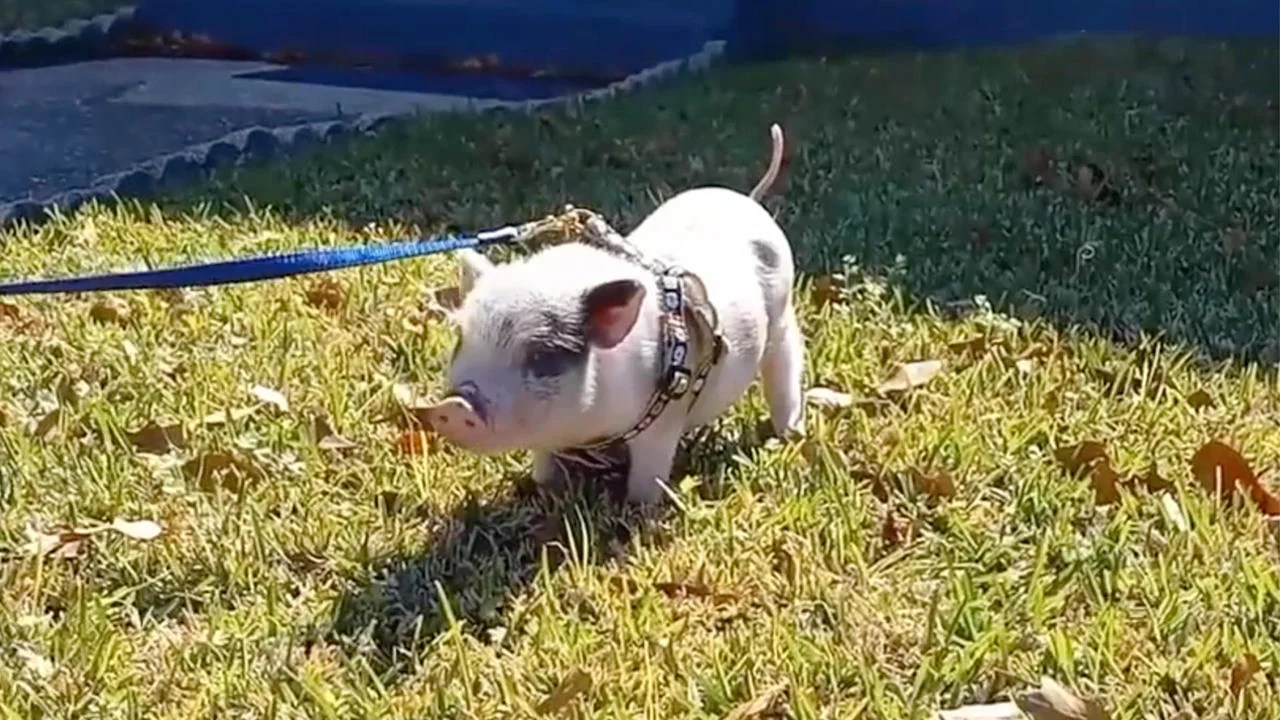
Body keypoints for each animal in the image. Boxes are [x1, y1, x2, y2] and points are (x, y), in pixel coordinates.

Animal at [426, 124, 804, 504]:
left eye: (542, 357)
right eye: (460, 342)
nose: (454, 406)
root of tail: (749, 200)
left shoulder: (662, 422)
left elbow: (649, 475)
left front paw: (637, 508)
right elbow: (545, 460)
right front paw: (543, 489)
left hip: (782, 316)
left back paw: (790, 433)